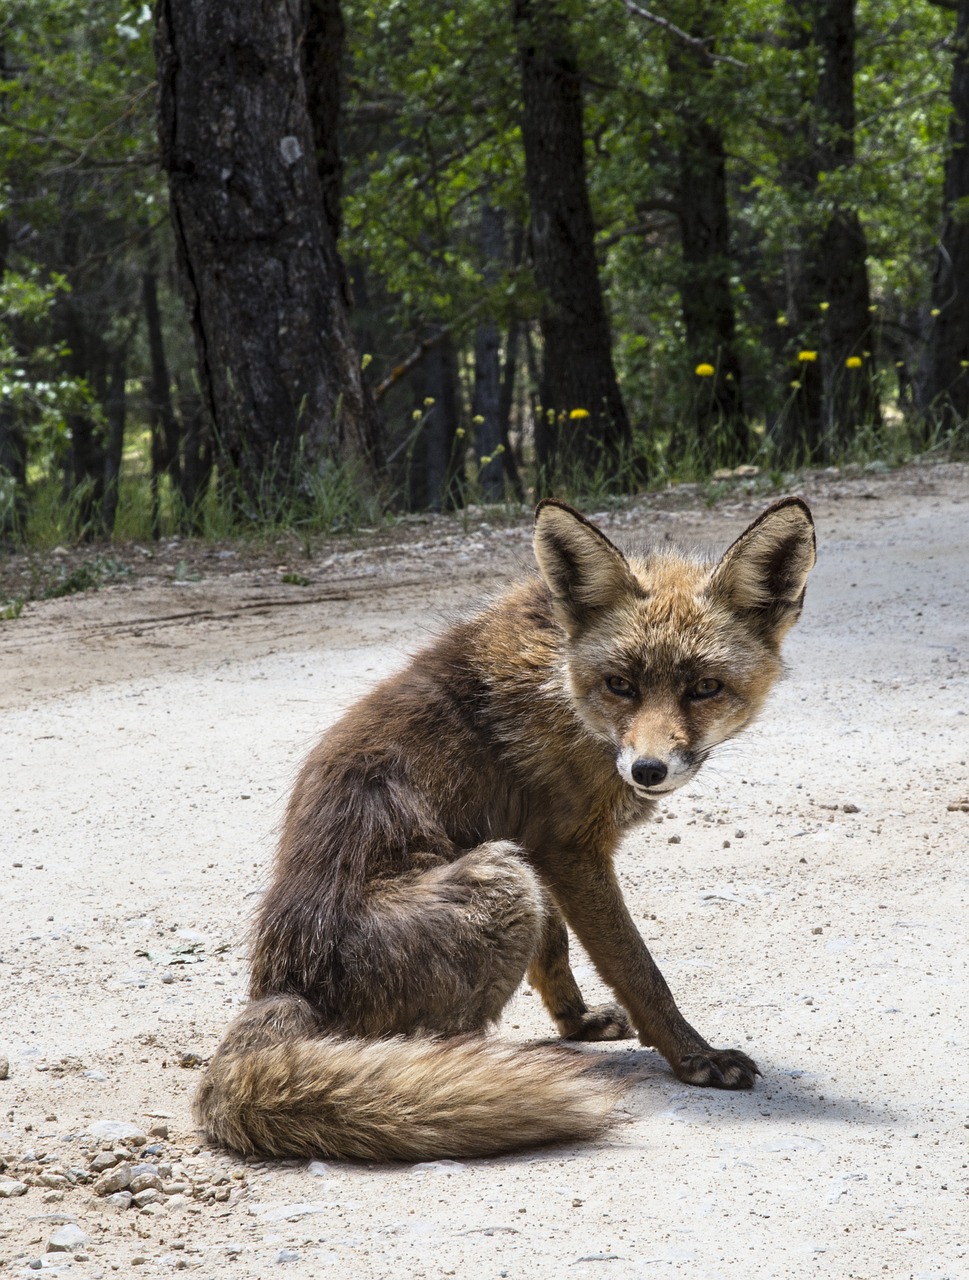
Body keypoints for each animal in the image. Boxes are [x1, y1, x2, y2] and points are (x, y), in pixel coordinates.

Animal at [197, 494, 814, 1167]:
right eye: (621, 685)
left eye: (704, 688)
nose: (647, 770)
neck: (563, 684)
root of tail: (281, 986)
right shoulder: (569, 851)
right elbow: (639, 971)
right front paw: (694, 1058)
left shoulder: (544, 851)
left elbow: (556, 953)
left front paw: (577, 1024)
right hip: (502, 879)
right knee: (430, 1043)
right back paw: (457, 1083)